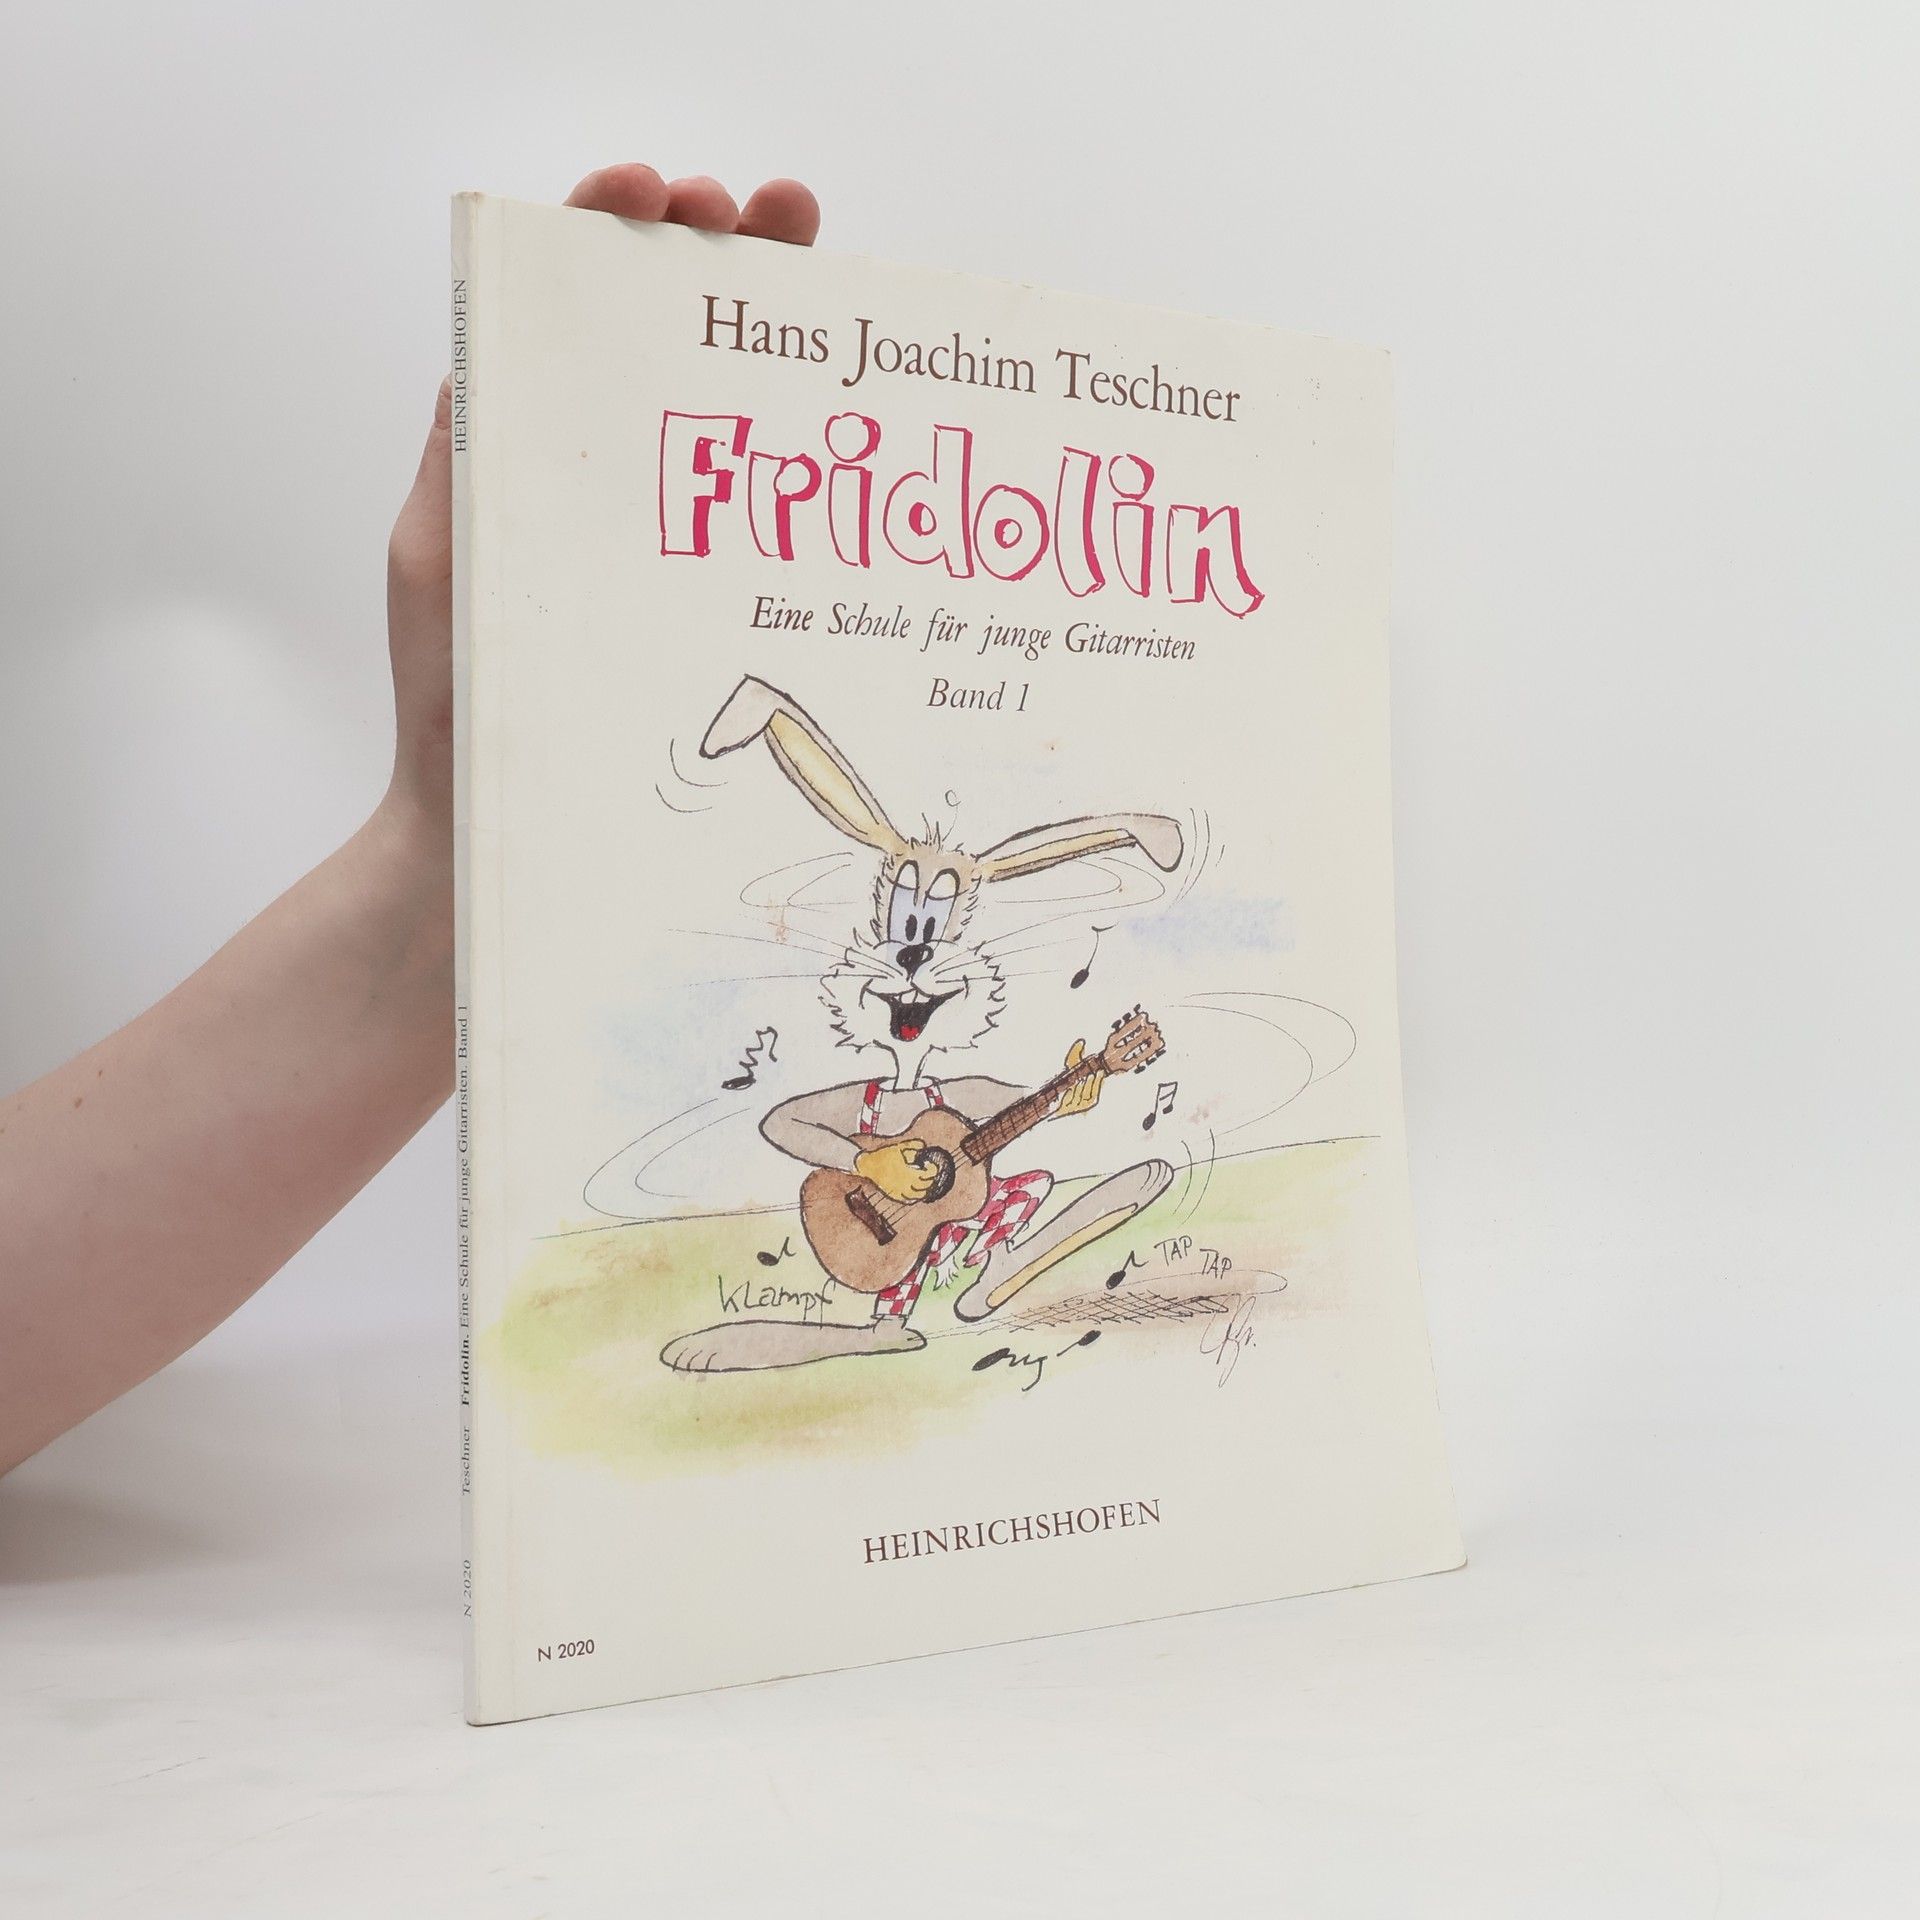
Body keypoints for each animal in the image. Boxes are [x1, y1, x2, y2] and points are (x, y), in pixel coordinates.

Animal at [660, 675, 1181, 1375]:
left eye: (936, 920)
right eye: (905, 916)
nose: (913, 953)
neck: (909, 1077)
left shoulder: (976, 1119)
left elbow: (1022, 1126)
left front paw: (1094, 1070)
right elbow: (784, 1120)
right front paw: (895, 1171)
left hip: (968, 1217)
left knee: (1024, 1192)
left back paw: (989, 1284)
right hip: (904, 1256)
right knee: (899, 1292)